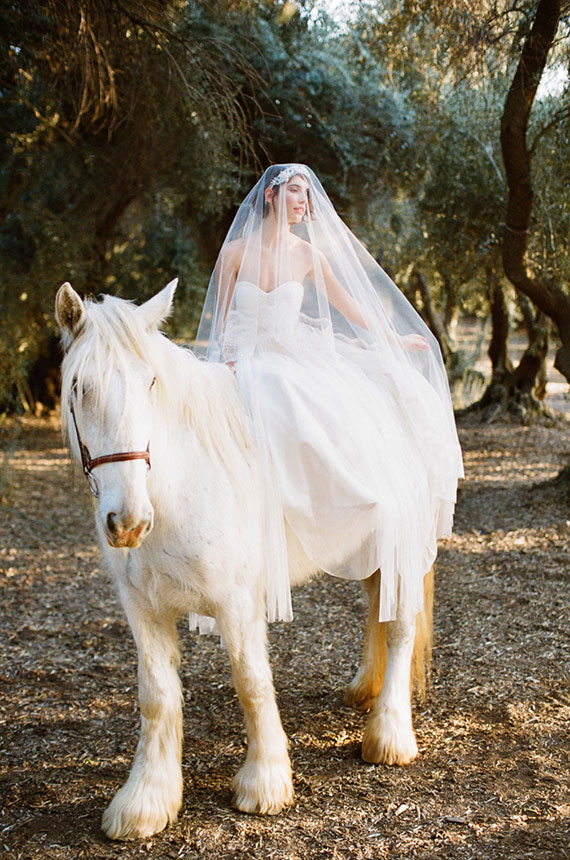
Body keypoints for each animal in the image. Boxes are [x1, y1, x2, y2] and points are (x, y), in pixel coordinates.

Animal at [56, 280, 430, 840]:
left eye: (151, 383)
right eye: (80, 388)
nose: (128, 522)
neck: (178, 492)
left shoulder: (237, 604)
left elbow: (252, 682)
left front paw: (265, 782)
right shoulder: (142, 610)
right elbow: (156, 695)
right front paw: (146, 799)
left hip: (402, 548)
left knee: (401, 627)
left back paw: (388, 734)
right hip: (370, 549)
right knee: (376, 614)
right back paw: (364, 690)